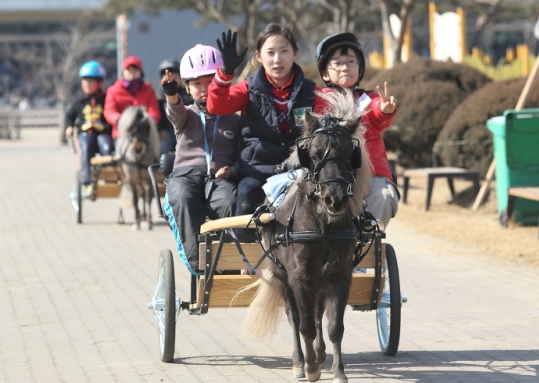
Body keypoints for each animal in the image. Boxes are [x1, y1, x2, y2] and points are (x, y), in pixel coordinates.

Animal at [244, 91, 372, 383]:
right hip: (280, 275)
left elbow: (334, 325)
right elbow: (304, 326)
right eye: (313, 155)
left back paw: (321, 353)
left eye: (350, 154)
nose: (335, 199)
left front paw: (338, 371)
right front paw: (311, 367)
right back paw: (300, 362)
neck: (323, 226)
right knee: (295, 317)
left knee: (316, 312)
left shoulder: (339, 274)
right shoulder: (299, 276)